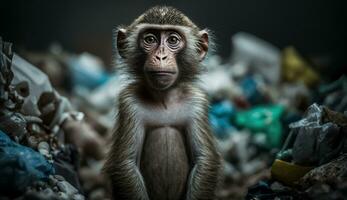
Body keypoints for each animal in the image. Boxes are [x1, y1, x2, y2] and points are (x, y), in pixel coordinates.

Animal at [104, 6, 223, 200]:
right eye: (150, 39)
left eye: (173, 40)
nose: (161, 56)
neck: (164, 98)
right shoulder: (129, 102)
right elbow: (125, 163)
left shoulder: (197, 101)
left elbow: (204, 160)